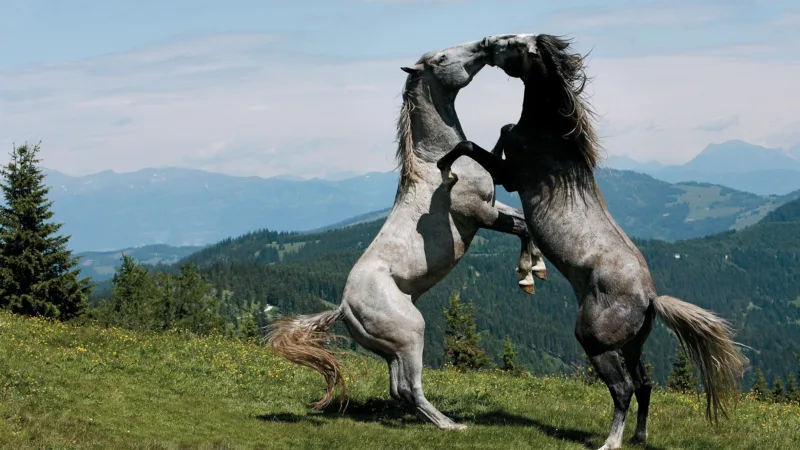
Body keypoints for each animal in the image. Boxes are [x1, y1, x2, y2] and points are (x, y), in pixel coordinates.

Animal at [434, 35, 748, 450]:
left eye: (515, 44)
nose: (487, 43)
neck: (550, 140)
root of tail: (650, 299)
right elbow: (500, 130)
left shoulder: (511, 175)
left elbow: (470, 146)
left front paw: (444, 169)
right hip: (632, 345)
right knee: (645, 384)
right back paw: (638, 437)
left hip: (596, 343)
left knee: (624, 389)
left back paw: (611, 442)